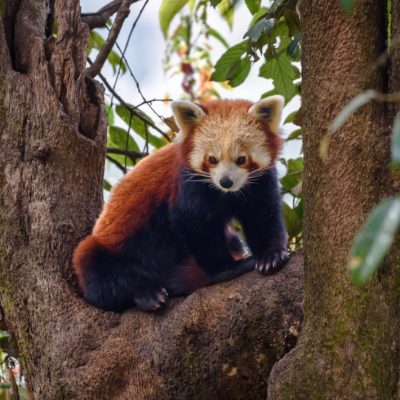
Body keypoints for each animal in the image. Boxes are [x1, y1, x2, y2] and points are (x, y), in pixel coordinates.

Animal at [73, 97, 290, 312]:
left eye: (241, 159)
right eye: (212, 159)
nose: (225, 181)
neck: (227, 194)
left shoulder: (260, 182)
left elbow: (263, 216)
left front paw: (270, 256)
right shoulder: (188, 184)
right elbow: (195, 225)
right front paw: (228, 269)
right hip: (111, 246)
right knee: (98, 271)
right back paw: (147, 294)